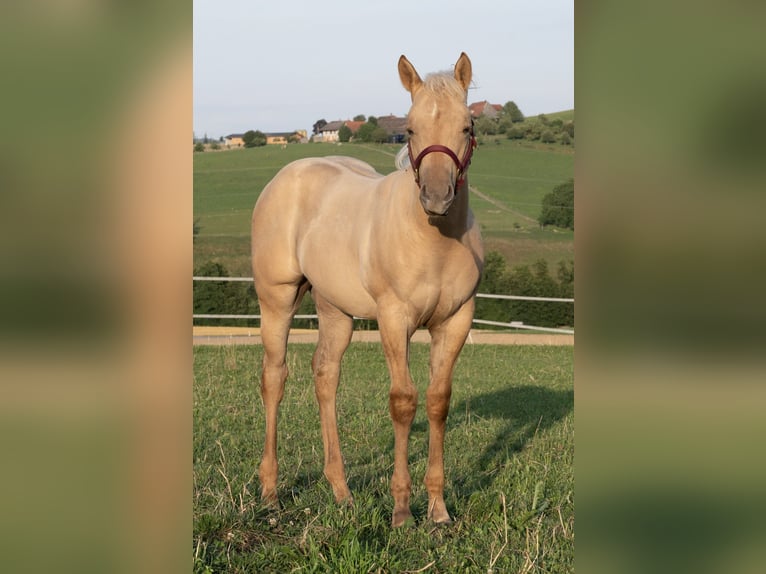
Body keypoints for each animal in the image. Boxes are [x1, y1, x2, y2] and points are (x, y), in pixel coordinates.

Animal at [252, 53, 486, 528]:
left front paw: (438, 510)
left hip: (335, 309)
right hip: (277, 299)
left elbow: (437, 402)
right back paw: (270, 492)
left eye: (467, 126)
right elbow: (403, 401)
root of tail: (287, 176)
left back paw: (341, 492)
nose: (436, 197)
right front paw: (402, 510)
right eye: (410, 129)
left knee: (326, 375)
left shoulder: (455, 321)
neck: (433, 240)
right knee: (274, 377)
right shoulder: (394, 320)